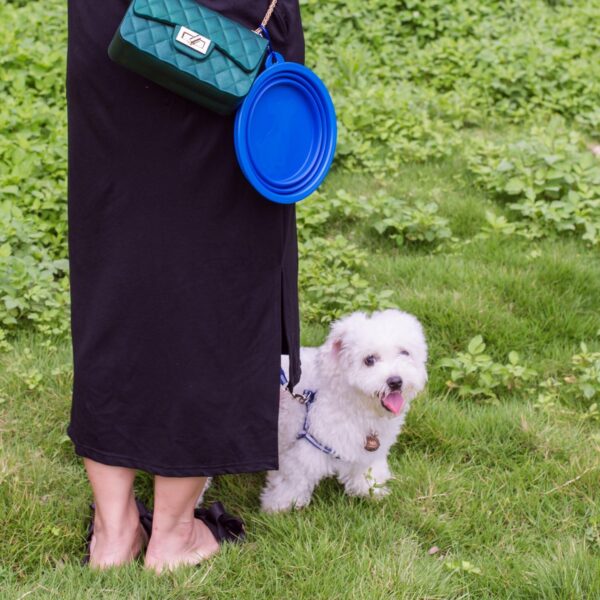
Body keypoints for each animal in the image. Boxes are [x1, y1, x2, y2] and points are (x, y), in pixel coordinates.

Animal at [260, 310, 428, 510]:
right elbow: (292, 483)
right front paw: (279, 506)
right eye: (369, 360)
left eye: (404, 352)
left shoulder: (365, 454)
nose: (395, 381)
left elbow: (366, 473)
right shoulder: (302, 454)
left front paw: (371, 491)